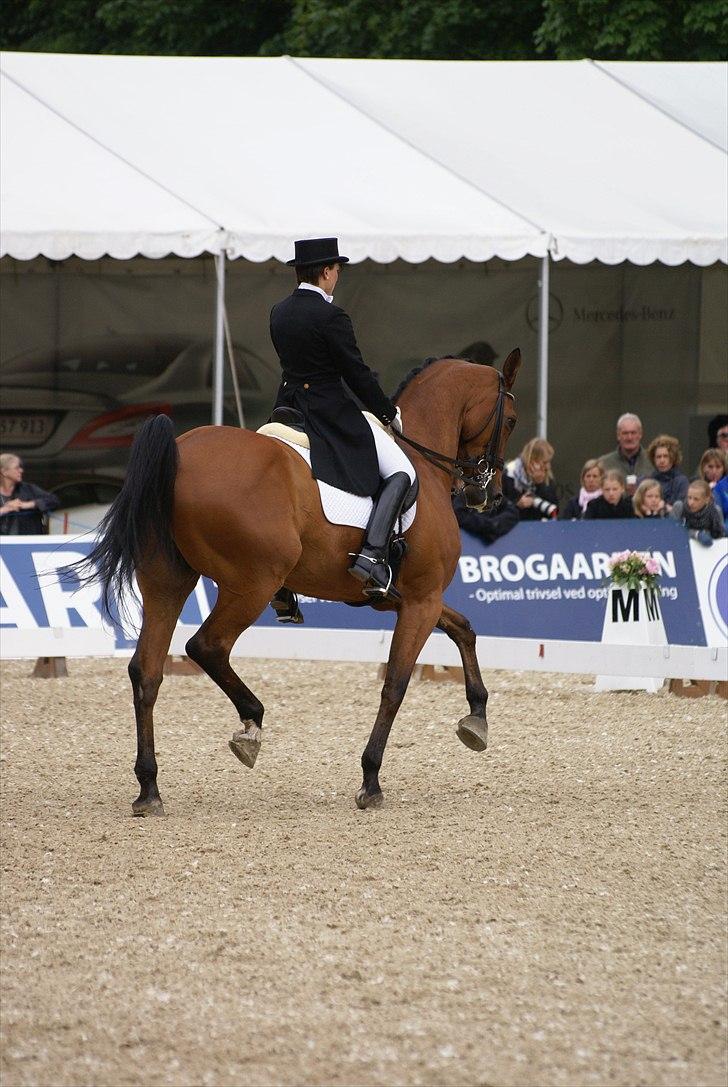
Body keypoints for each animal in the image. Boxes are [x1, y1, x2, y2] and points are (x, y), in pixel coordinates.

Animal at [85, 347, 521, 808]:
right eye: (511, 419)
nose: (488, 495)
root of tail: (181, 450)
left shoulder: (407, 596)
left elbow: (464, 629)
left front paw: (477, 718)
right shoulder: (423, 597)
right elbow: (396, 684)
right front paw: (371, 779)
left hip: (166, 582)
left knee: (147, 672)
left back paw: (149, 788)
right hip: (252, 585)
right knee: (206, 646)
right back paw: (251, 724)